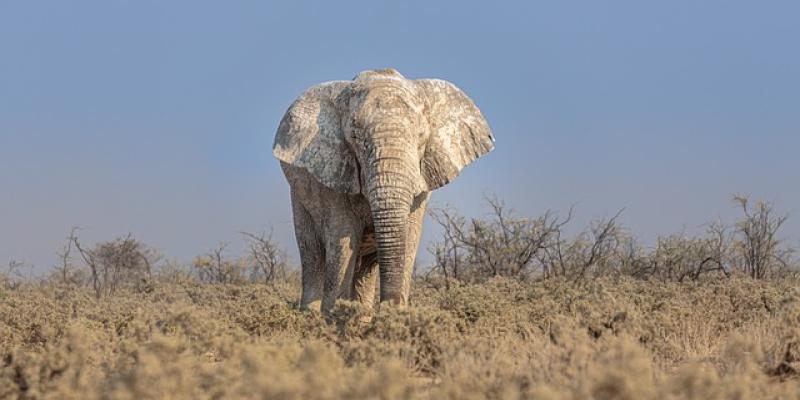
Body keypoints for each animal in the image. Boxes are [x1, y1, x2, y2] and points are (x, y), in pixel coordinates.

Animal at [273, 68, 494, 312]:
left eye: (421, 137)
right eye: (355, 138)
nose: (389, 305)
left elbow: (409, 238)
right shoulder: (332, 174)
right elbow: (342, 240)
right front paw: (333, 314)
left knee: (365, 268)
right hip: (299, 199)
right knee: (313, 255)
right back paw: (310, 313)